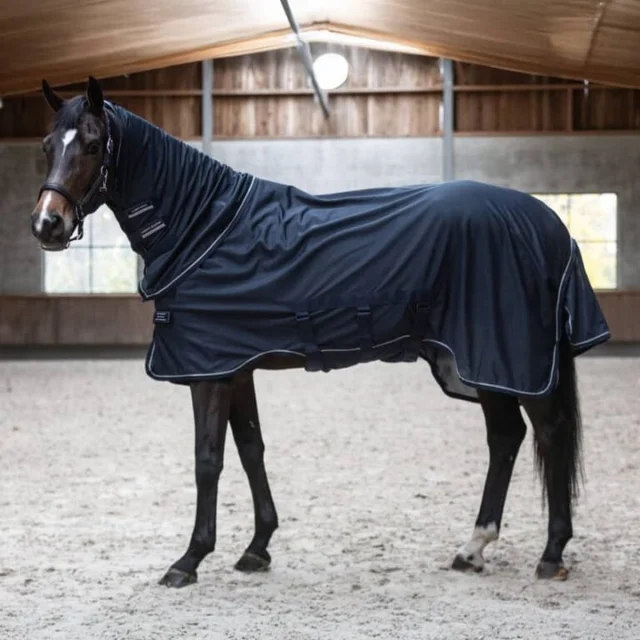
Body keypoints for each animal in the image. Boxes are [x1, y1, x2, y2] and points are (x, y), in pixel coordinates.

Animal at [30, 76, 610, 589]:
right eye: (46, 145)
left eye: (93, 144)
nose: (47, 225)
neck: (203, 227)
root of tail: (550, 225)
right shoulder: (234, 367)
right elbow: (251, 448)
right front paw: (257, 547)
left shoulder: (208, 371)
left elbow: (207, 460)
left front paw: (189, 560)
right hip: (481, 362)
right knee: (506, 437)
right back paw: (473, 548)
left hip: (509, 358)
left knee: (550, 432)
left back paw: (551, 553)